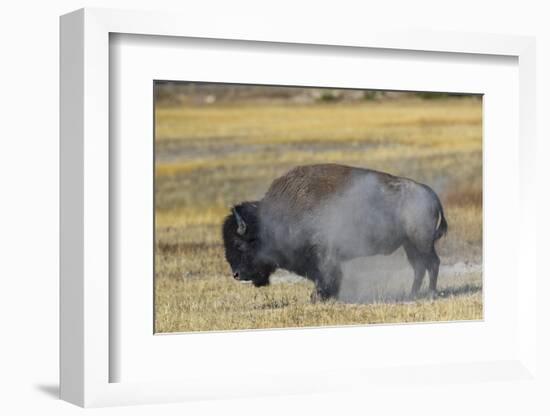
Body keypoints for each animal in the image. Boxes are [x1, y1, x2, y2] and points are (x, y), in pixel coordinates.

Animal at [221, 163, 448, 302]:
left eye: (239, 244)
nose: (236, 275)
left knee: (432, 264)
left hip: (421, 243)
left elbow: (328, 276)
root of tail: (429, 193)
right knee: (419, 267)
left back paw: (431, 294)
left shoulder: (324, 255)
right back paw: (412, 295)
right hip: (409, 244)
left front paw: (318, 298)